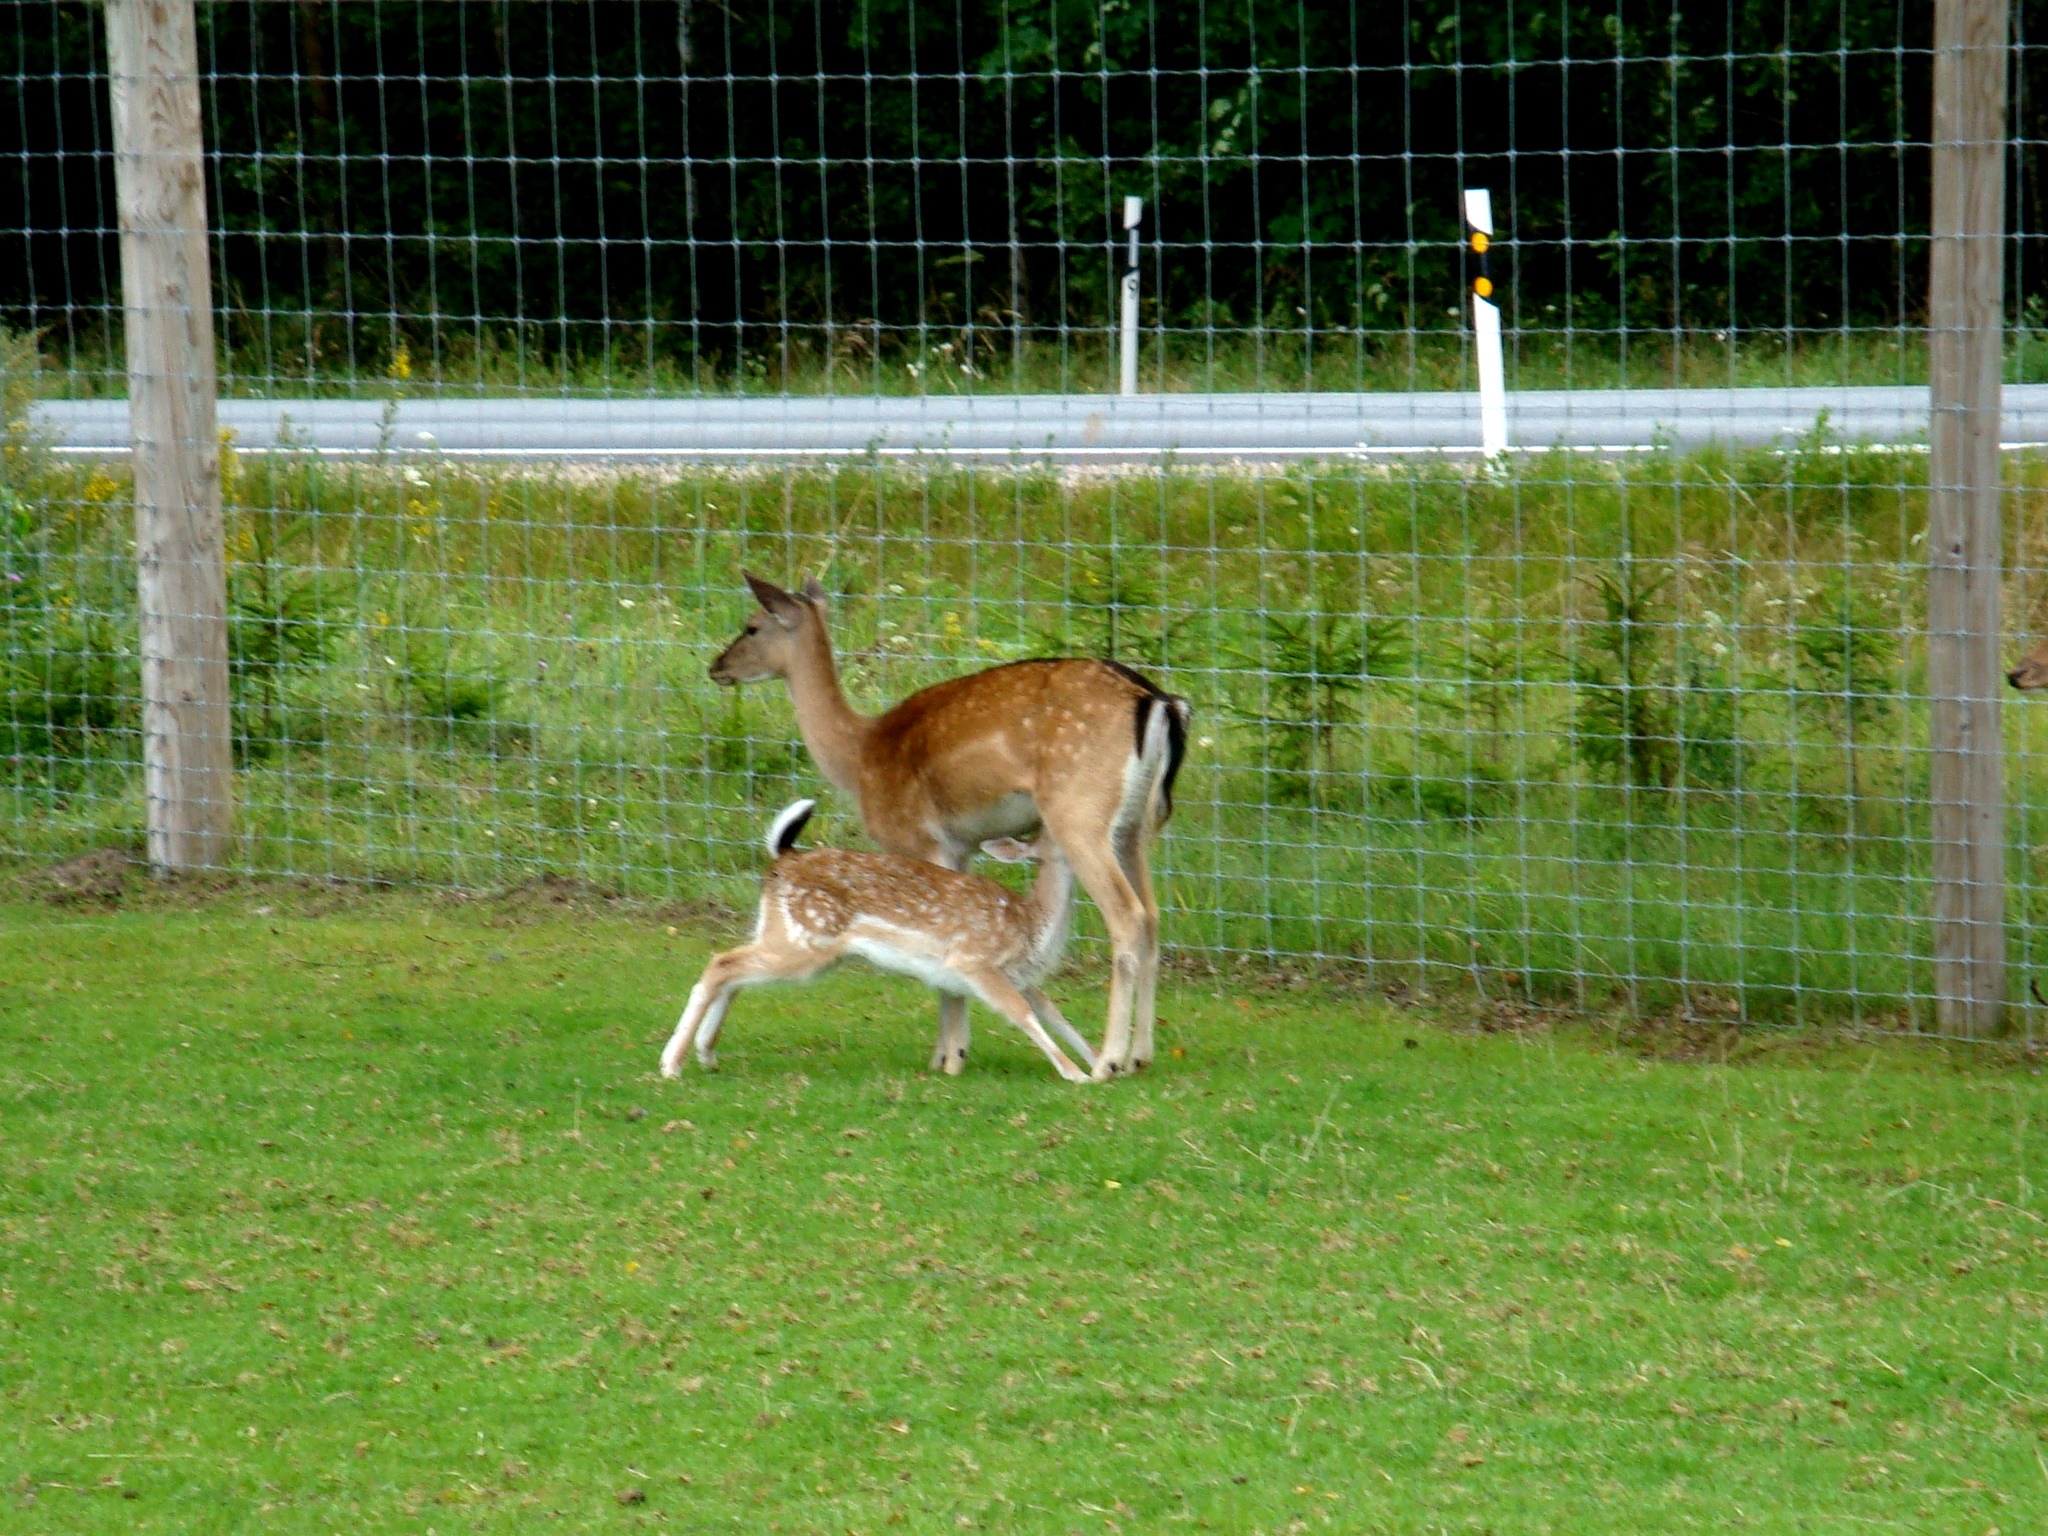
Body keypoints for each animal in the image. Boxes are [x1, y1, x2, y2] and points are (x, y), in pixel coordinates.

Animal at [663, 806, 1097, 1081]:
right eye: (1059, 833)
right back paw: (672, 1064)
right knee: (722, 963)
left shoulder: (1019, 974)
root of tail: (782, 860)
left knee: (733, 971)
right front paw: (1075, 1074)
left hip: (783, 933)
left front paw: (1102, 1064)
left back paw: (706, 1054)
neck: (1032, 924)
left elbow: (1053, 1012)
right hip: (807, 939)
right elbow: (1022, 1013)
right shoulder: (974, 960)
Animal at [708, 577, 1187, 1081]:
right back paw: (1139, 1055)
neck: (858, 758)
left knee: (1128, 915)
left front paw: (950, 1053)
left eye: (752, 625)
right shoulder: (963, 845)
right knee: (1153, 915)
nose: (716, 666)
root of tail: (1160, 702)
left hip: (1079, 811)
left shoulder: (920, 837)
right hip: (1132, 825)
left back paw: (1109, 1059)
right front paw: (951, 1047)